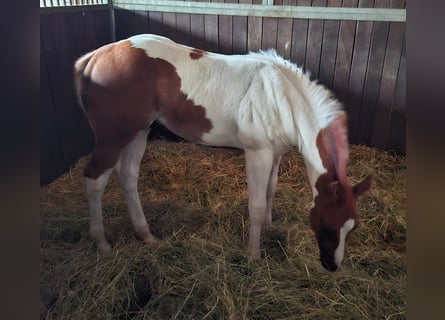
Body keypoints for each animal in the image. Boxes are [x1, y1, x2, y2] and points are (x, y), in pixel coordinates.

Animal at [73, 33, 372, 272]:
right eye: (328, 226)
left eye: (353, 227)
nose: (332, 266)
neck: (282, 98)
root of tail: (93, 58)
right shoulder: (258, 153)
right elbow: (256, 204)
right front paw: (253, 254)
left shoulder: (276, 153)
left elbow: (271, 189)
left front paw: (269, 225)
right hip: (114, 137)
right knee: (95, 179)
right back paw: (102, 243)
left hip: (139, 131)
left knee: (128, 176)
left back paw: (146, 236)